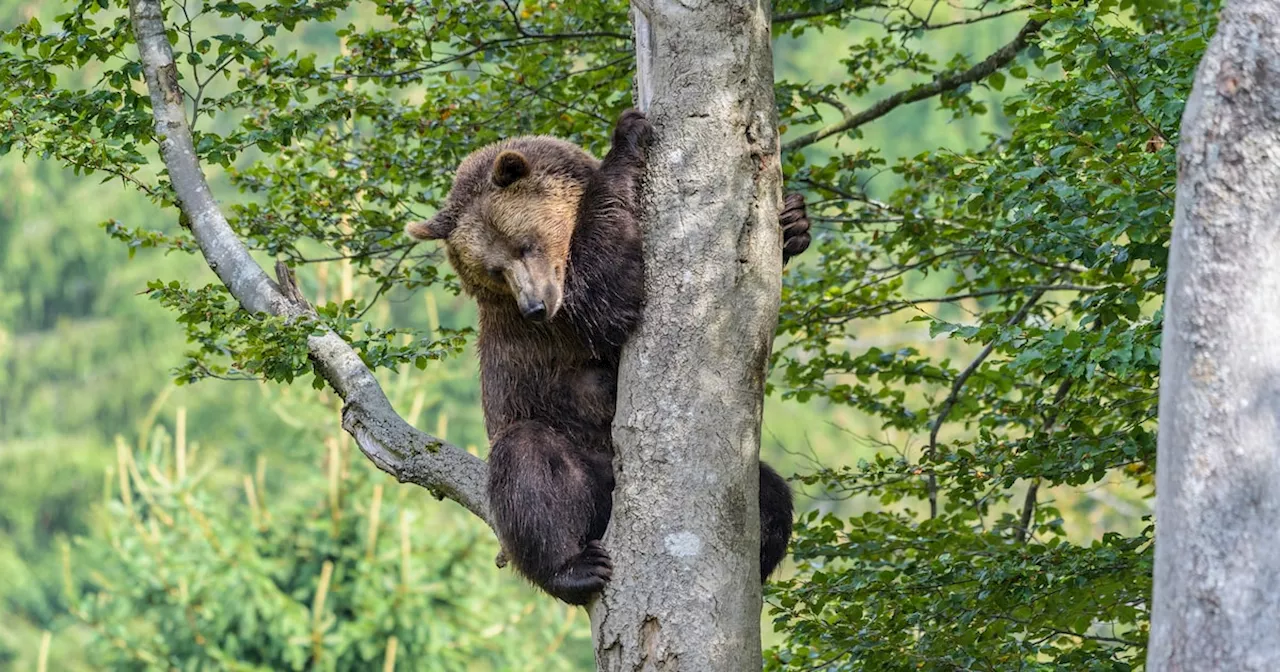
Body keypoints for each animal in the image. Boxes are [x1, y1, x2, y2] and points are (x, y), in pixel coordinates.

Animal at [407, 108, 808, 601]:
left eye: (523, 244)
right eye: (493, 269)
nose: (534, 306)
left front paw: (794, 221)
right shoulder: (562, 320)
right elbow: (605, 294)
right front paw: (628, 135)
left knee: (770, 493)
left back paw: (757, 558)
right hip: (573, 451)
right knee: (529, 466)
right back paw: (574, 567)